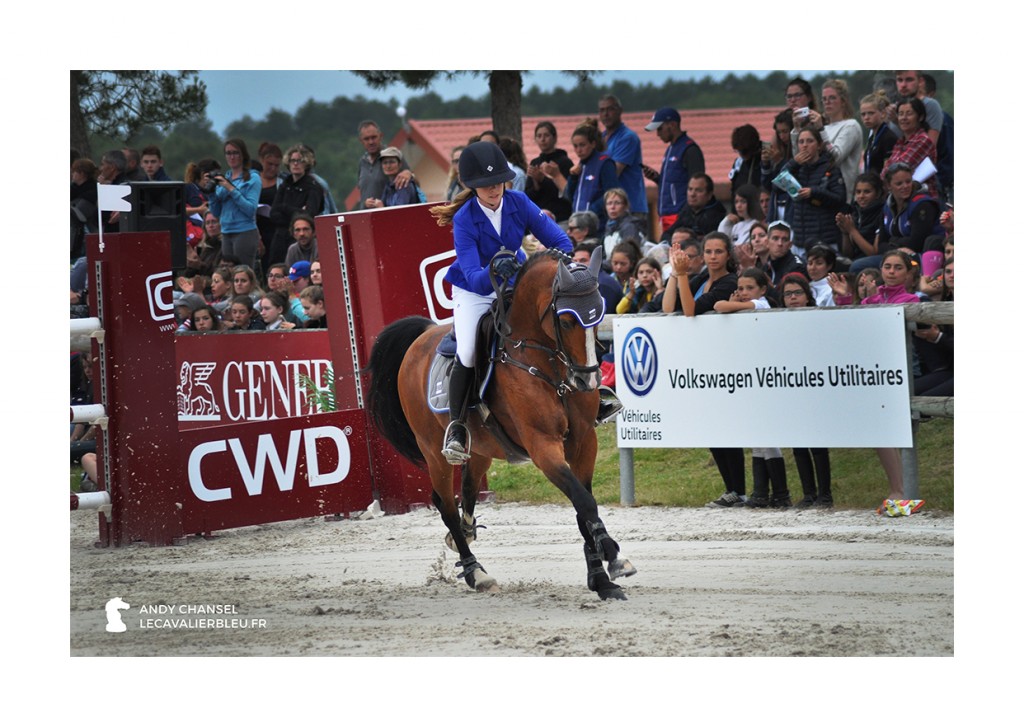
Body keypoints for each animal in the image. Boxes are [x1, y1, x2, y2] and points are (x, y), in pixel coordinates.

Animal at [366, 248, 635, 600]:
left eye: (598, 316)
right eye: (566, 320)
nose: (586, 380)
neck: (549, 367)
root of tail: (422, 336)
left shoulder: (583, 442)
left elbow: (582, 507)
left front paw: (601, 580)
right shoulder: (542, 446)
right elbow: (585, 503)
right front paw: (613, 556)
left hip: (480, 448)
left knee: (467, 491)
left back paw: (465, 534)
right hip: (433, 450)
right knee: (445, 504)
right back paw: (476, 573)